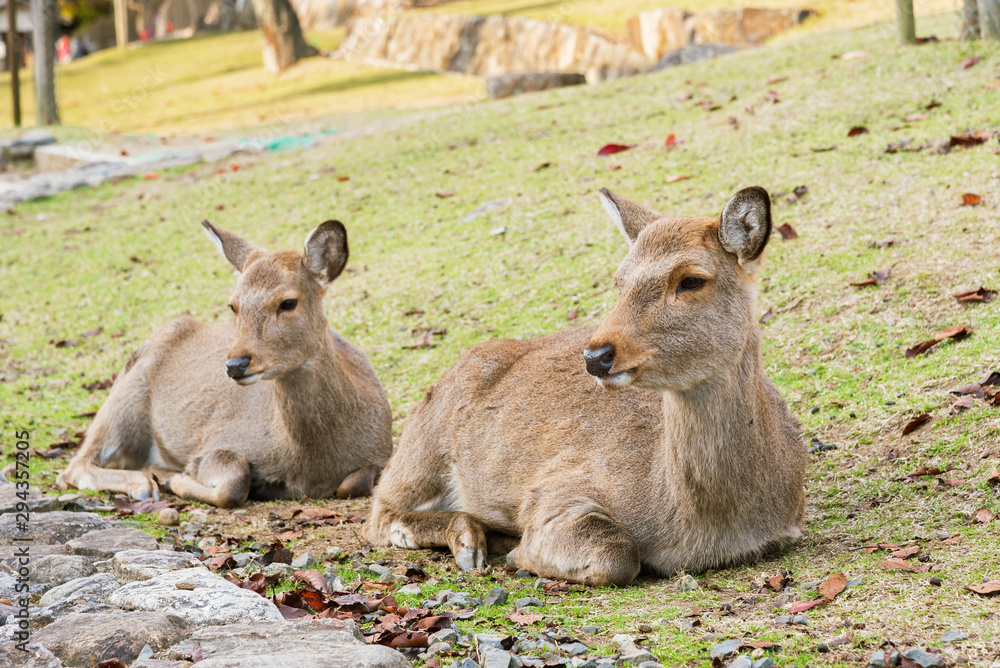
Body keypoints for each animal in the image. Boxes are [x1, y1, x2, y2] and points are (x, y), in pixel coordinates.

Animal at [57, 220, 393, 508]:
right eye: (233, 305)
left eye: (287, 302)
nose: (236, 364)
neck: (312, 464)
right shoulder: (215, 443)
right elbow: (234, 483)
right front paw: (179, 480)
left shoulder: (383, 454)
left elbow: (356, 482)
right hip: (124, 399)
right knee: (75, 466)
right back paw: (144, 483)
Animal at [365, 186, 807, 585]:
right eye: (619, 280)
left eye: (692, 280)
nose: (596, 356)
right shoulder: (555, 489)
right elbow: (619, 554)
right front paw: (519, 553)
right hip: (423, 445)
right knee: (378, 513)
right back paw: (470, 543)